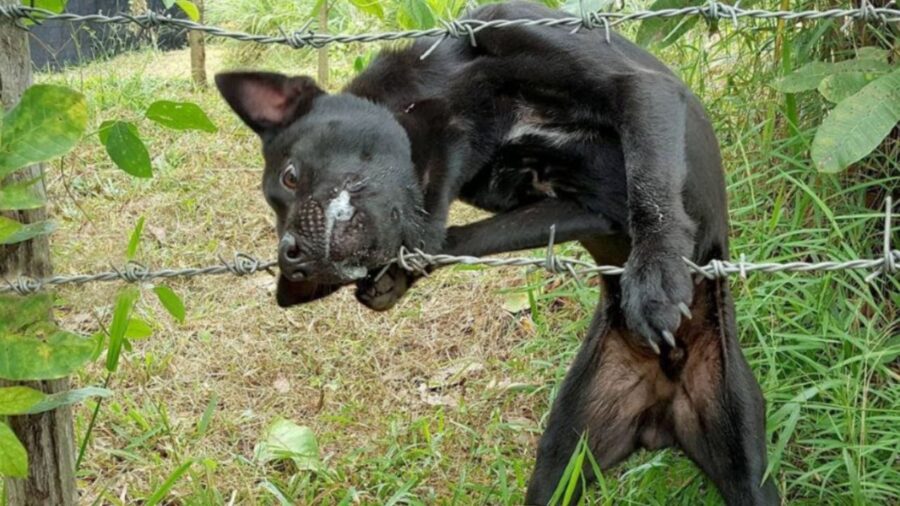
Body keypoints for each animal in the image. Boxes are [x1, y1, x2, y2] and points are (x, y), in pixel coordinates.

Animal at [216, 2, 780, 502]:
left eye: (290, 177)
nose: (291, 258)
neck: (460, 102)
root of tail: (664, 403)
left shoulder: (636, 88)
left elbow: (651, 190)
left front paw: (657, 275)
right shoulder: (579, 207)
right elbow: (463, 238)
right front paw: (397, 275)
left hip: (748, 464)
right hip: (563, 457)